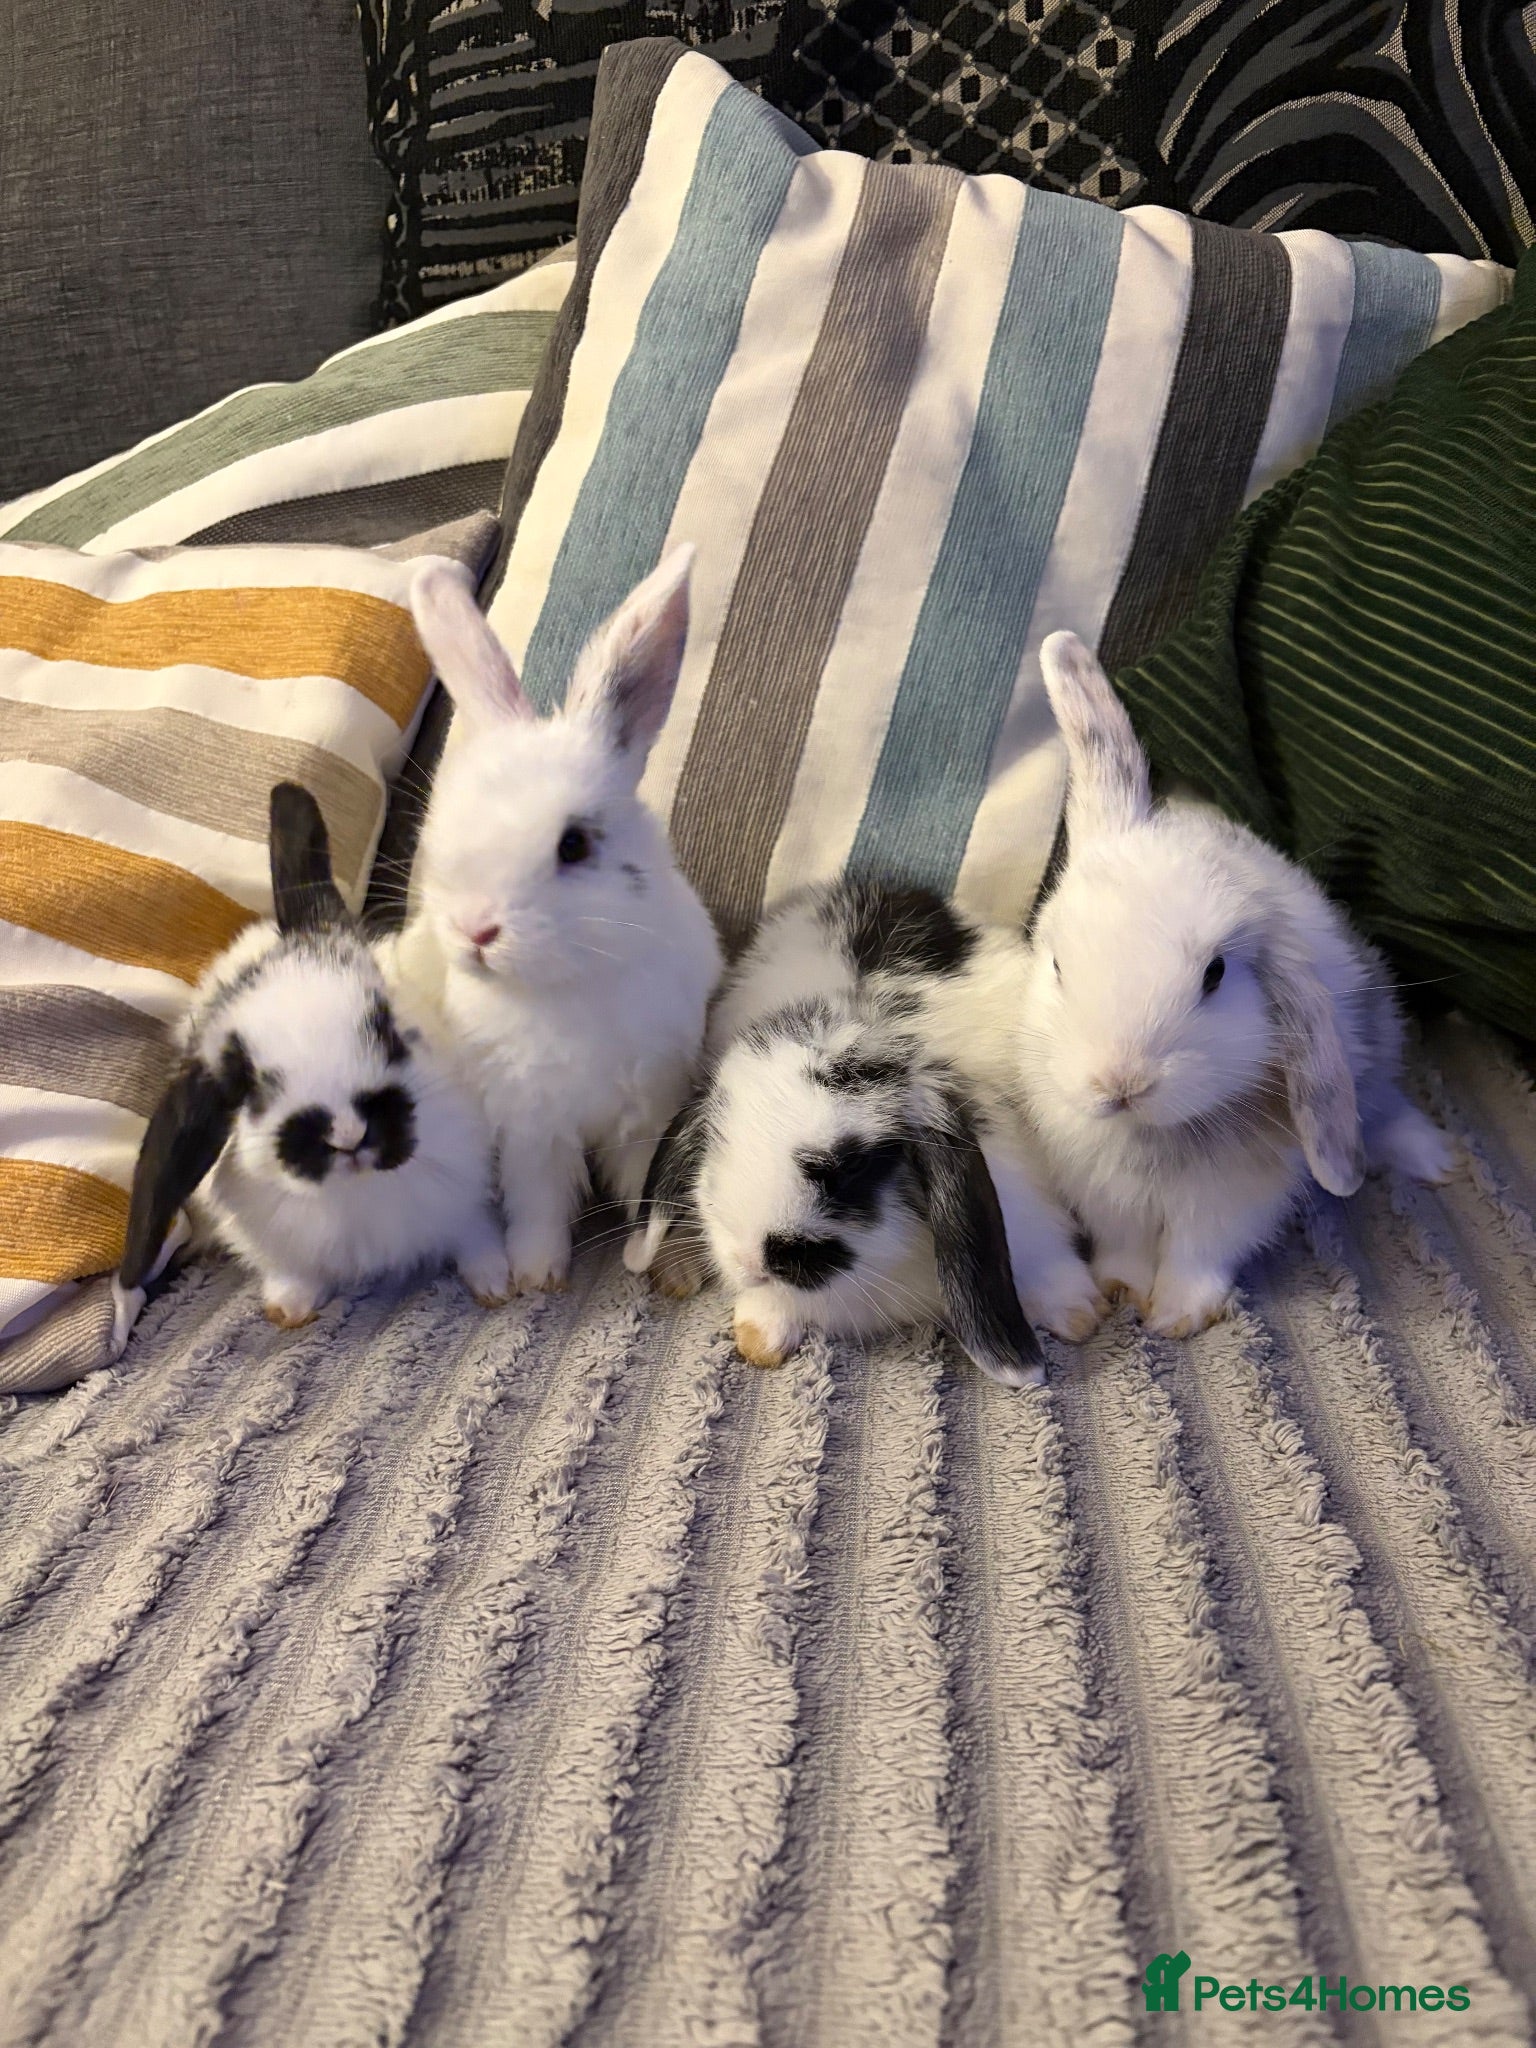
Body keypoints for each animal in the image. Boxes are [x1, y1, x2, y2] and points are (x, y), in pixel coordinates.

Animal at [116, 783, 510, 1338]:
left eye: (386, 1028)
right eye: (248, 1086)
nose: (348, 1134)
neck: (361, 1191)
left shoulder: (468, 1193)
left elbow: (476, 1234)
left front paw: (497, 1284)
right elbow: (292, 1272)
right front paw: (290, 1309)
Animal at [386, 545, 722, 1295]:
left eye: (574, 845)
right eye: (441, 832)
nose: (475, 931)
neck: (569, 982)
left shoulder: (651, 1108)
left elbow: (649, 1193)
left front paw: (669, 1271)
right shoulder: (530, 1127)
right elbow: (538, 1202)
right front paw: (537, 1273)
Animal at [1011, 630, 1458, 1339]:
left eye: (1215, 974)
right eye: (1057, 966)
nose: (1119, 1082)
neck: (1154, 1136)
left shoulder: (1235, 1199)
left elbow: (1201, 1250)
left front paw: (1177, 1316)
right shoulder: (1101, 1191)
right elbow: (1123, 1245)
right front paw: (1121, 1289)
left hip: (1376, 1039)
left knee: (1386, 1104)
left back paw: (1437, 1159)